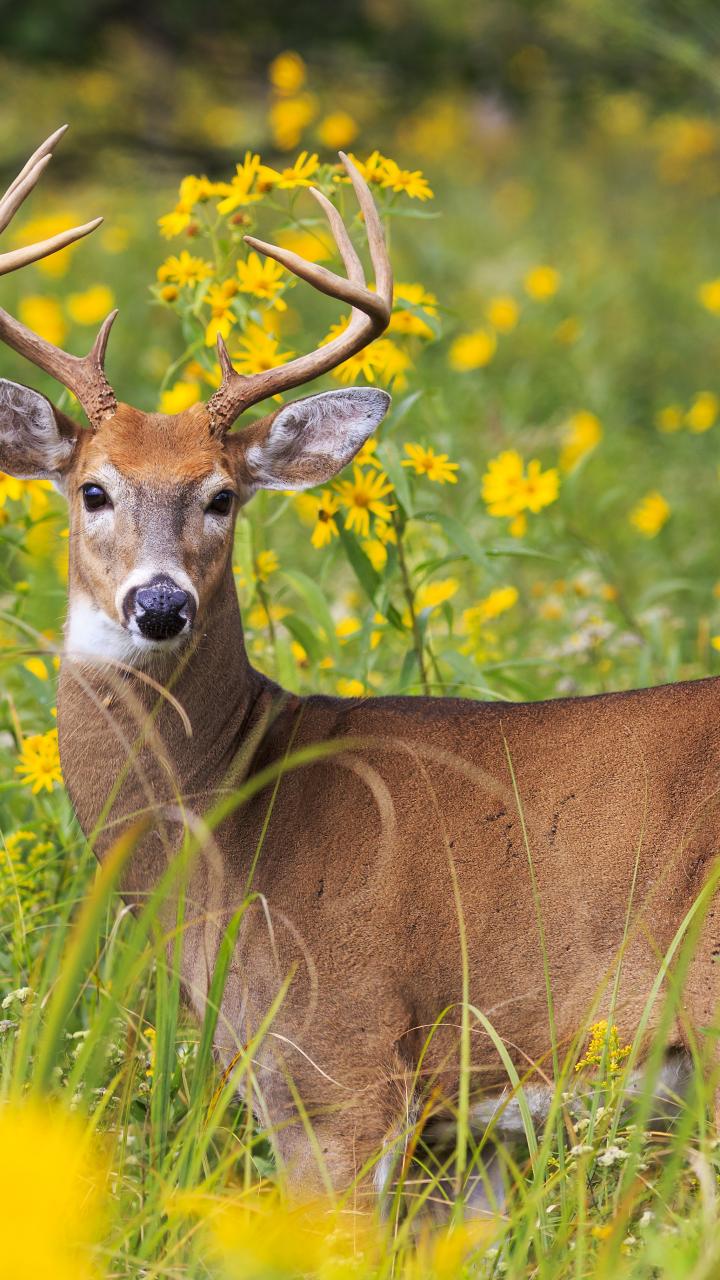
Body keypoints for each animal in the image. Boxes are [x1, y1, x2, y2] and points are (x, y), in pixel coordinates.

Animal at [1, 125, 719, 1211]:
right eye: (91, 488)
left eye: (222, 495)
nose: (159, 604)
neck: (227, 819)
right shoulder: (463, 1137)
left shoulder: (339, 1060)